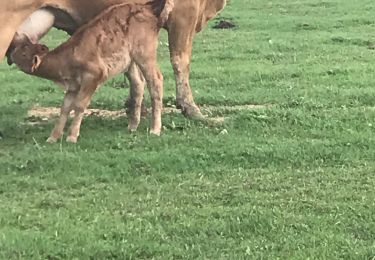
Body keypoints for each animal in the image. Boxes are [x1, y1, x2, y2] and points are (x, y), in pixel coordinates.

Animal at [10, 0, 169, 142]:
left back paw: (155, 129)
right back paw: (132, 126)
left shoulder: (93, 76)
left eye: (23, 53)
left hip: (144, 54)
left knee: (155, 80)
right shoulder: (73, 86)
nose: (12, 51)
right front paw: (53, 137)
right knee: (138, 83)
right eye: (25, 46)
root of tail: (147, 7)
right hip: (130, 61)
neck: (67, 58)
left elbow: (79, 105)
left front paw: (72, 136)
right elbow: (65, 108)